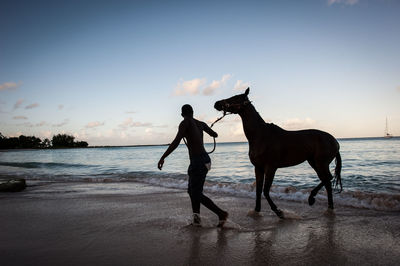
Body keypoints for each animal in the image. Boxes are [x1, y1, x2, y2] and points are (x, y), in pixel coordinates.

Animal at [214, 88, 342, 217]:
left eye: (235, 98)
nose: (217, 104)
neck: (260, 135)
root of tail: (334, 141)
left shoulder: (270, 167)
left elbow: (265, 191)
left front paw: (278, 211)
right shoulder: (258, 168)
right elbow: (258, 190)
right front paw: (256, 210)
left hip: (320, 163)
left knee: (327, 179)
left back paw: (314, 200)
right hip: (313, 162)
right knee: (327, 181)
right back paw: (325, 206)